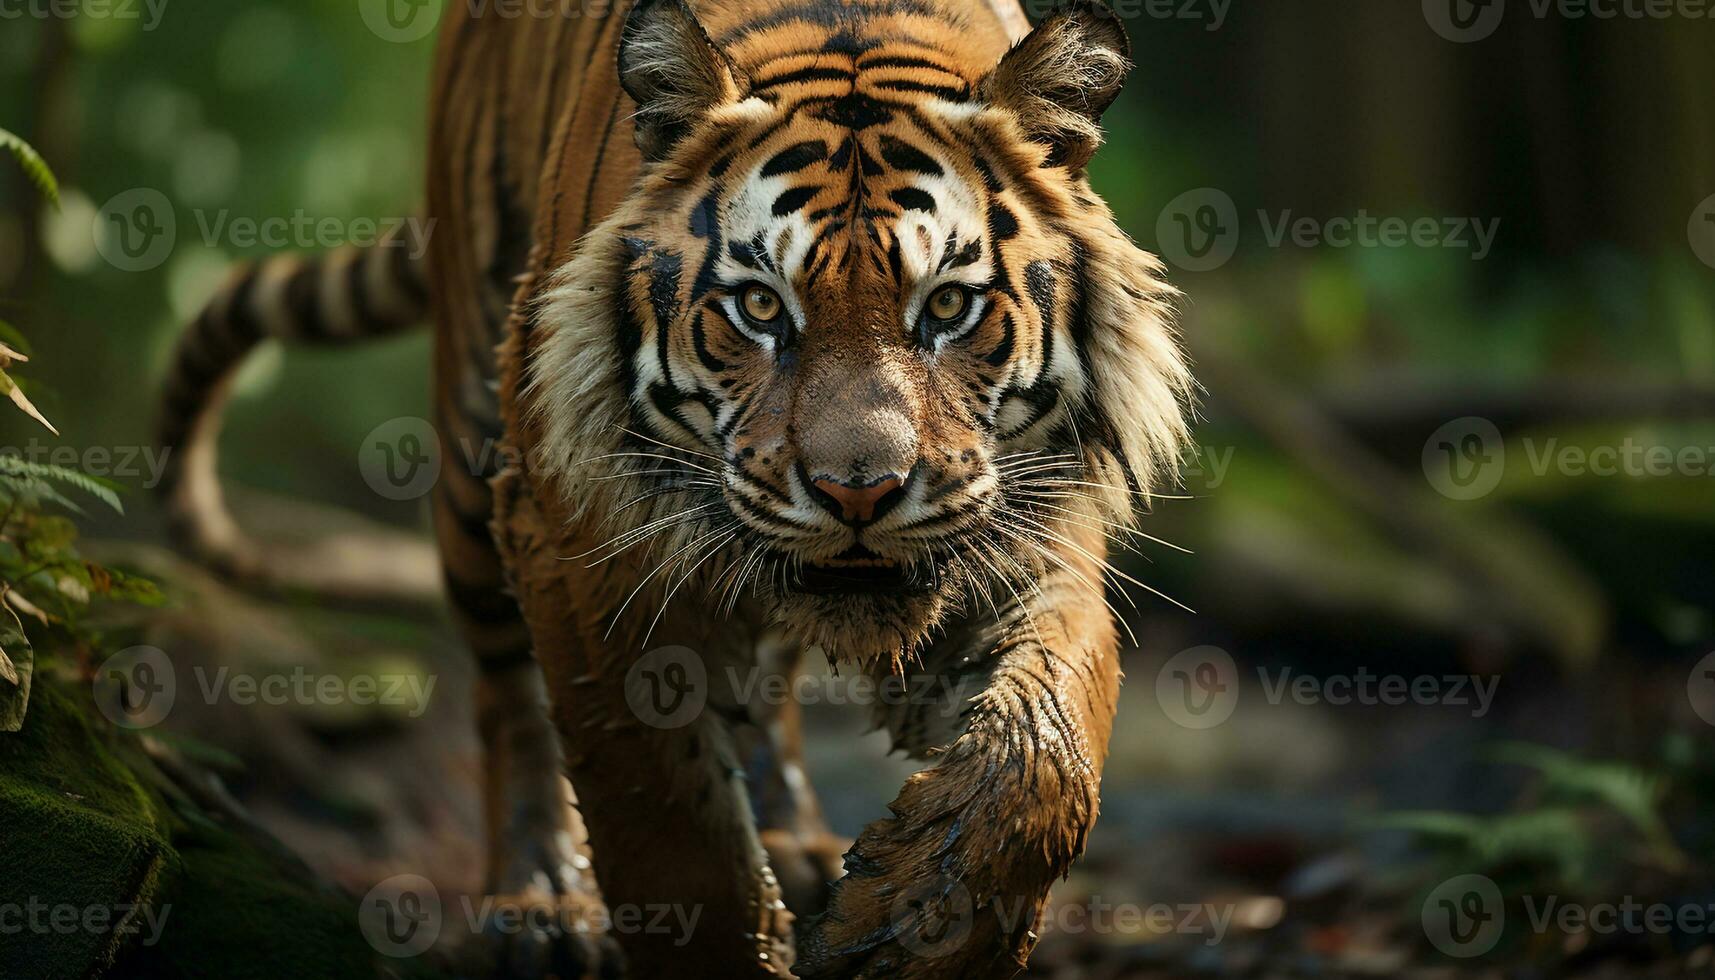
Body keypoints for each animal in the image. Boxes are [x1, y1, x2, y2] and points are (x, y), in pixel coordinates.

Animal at [157, 0, 1193, 974]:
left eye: (946, 305)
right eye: (761, 306)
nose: (857, 493)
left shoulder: (1032, 522)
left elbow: (1046, 746)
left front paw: (910, 925)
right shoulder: (577, 537)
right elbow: (666, 825)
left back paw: (791, 841)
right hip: (475, 437)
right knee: (505, 692)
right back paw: (541, 903)